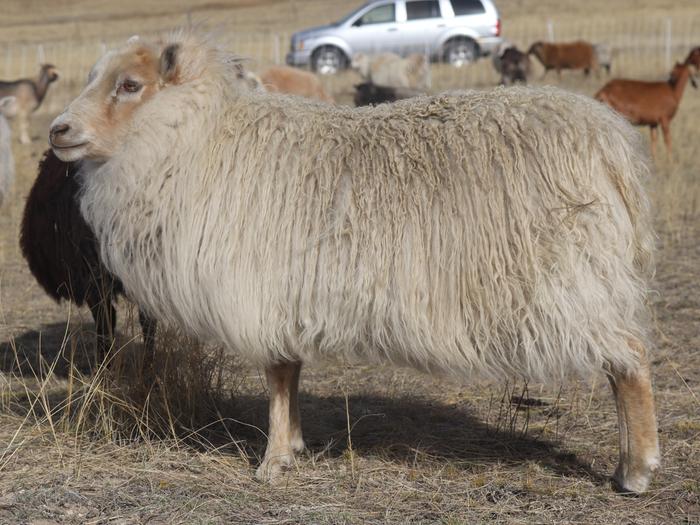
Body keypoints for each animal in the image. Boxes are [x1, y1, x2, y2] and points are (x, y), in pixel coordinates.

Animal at [52, 34, 660, 494]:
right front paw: (295, 445)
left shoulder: (261, 289)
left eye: (130, 86)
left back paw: (635, 470)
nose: (58, 130)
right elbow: (290, 370)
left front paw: (272, 461)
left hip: (575, 279)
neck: (204, 143)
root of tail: (613, 144)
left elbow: (276, 375)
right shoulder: (285, 295)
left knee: (629, 361)